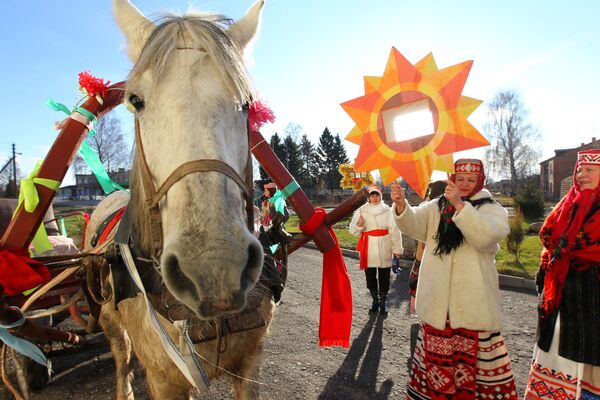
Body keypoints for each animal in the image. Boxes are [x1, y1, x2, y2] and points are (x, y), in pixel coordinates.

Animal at [82, 1, 274, 398]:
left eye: (247, 103)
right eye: (135, 101)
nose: (214, 268)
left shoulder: (251, 363)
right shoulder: (164, 378)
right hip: (109, 320)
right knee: (121, 356)